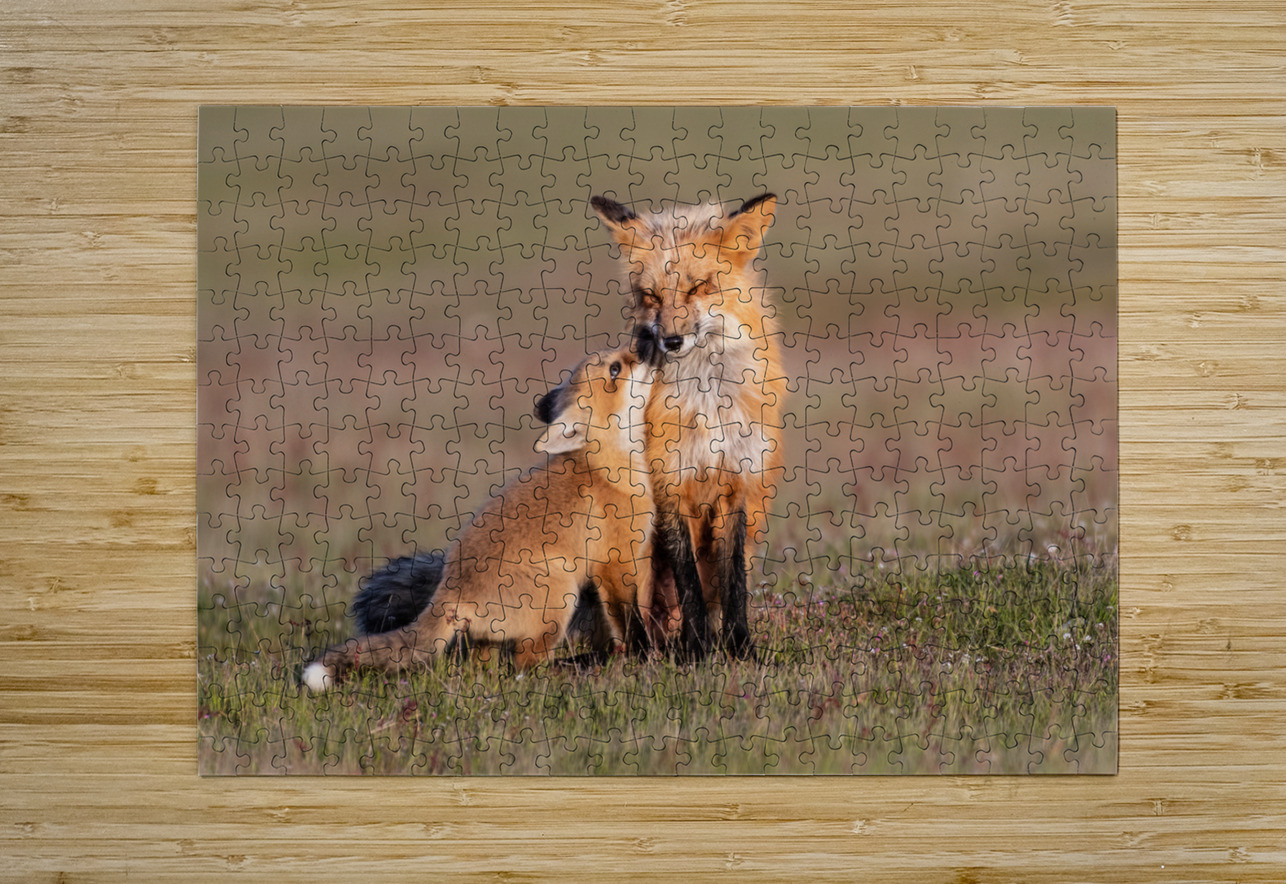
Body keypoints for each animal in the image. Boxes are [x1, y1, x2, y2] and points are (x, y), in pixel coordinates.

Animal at [301, 345, 658, 691]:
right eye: (615, 369)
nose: (647, 343)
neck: (605, 469)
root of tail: (452, 591)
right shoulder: (614, 564)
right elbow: (627, 621)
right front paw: (638, 656)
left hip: (497, 634)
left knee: (484, 670)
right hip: (559, 598)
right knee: (524, 668)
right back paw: (564, 673)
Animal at [590, 192, 784, 660]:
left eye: (698, 287)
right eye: (651, 295)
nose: (671, 341)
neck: (706, 400)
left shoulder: (737, 484)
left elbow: (733, 583)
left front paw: (739, 647)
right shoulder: (668, 485)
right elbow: (688, 580)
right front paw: (697, 651)